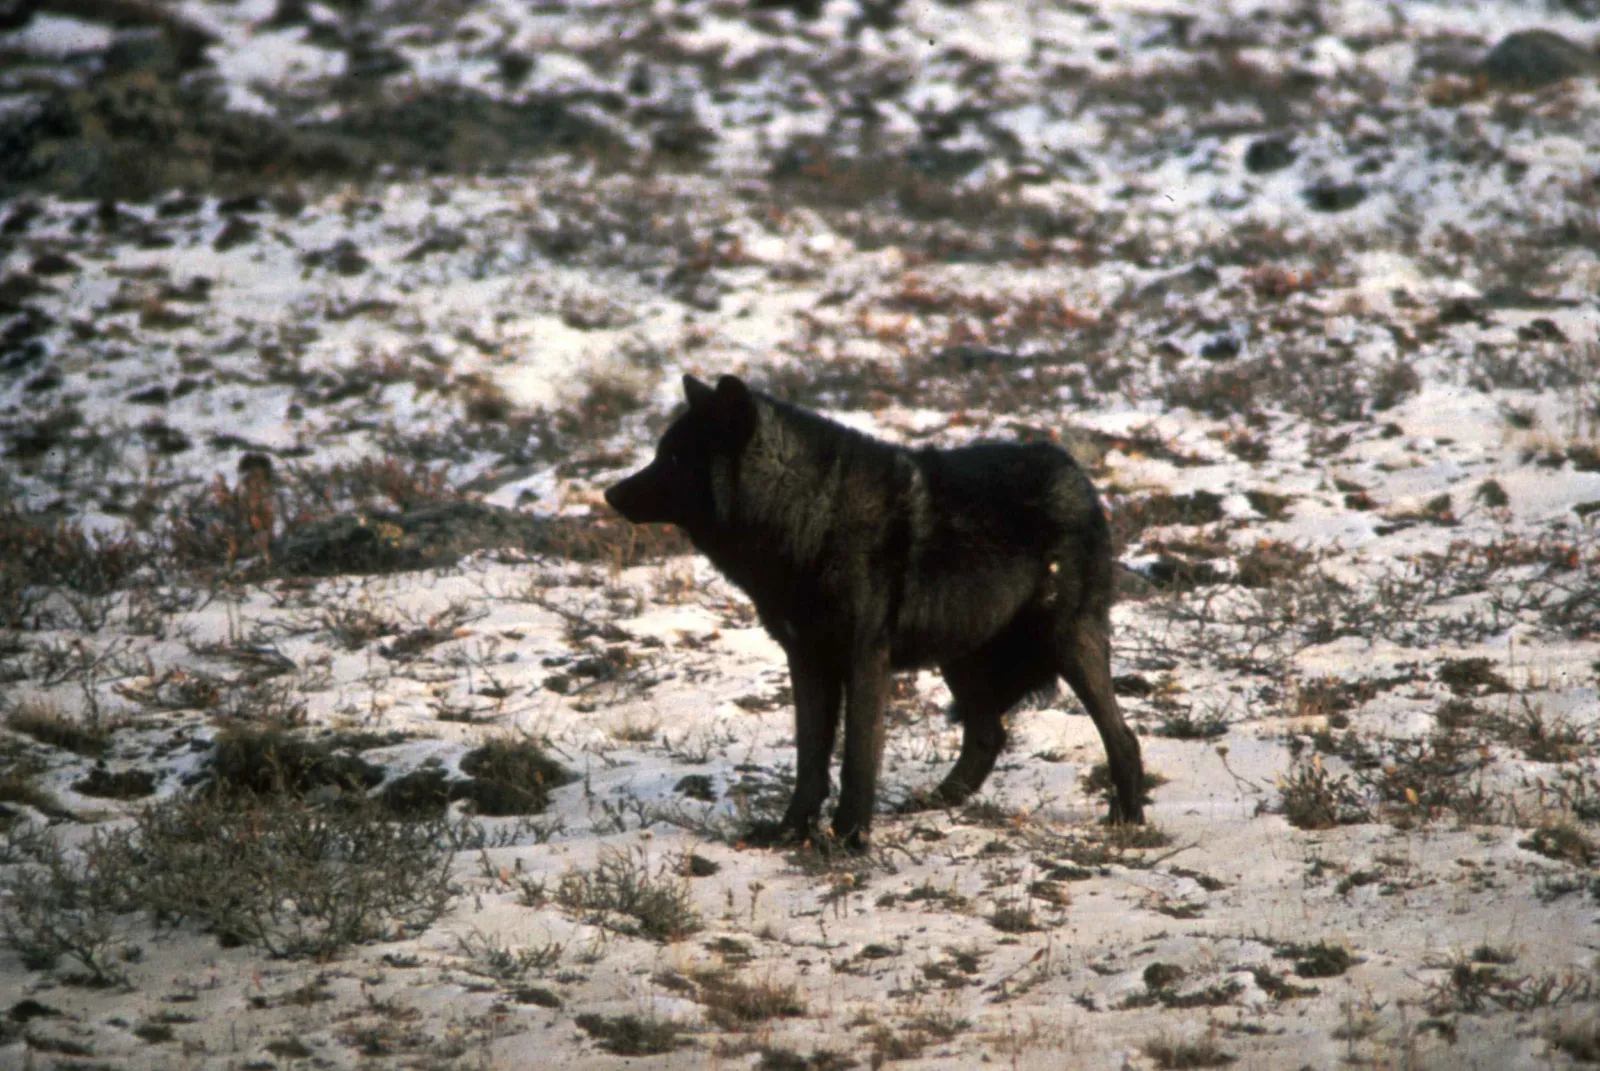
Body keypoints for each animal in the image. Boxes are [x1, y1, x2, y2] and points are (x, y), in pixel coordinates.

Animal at [605, 374, 1144, 847]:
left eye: (673, 458)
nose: (610, 493)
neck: (808, 518)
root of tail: (1076, 472)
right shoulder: (806, 661)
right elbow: (810, 761)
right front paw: (790, 833)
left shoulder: (865, 660)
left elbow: (857, 760)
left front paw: (848, 839)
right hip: (960, 656)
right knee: (989, 733)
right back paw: (936, 802)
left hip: (1065, 644)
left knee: (1122, 737)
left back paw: (1128, 821)